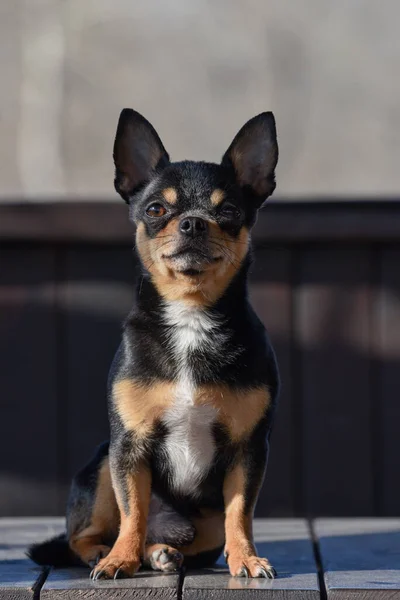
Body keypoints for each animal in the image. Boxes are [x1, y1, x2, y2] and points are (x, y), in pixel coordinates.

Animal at [28, 109, 280, 580]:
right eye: (156, 209)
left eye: (229, 210)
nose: (193, 221)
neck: (191, 316)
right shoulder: (129, 446)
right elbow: (133, 510)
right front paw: (119, 560)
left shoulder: (248, 450)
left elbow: (240, 512)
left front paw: (246, 558)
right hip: (103, 464)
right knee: (89, 535)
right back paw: (106, 552)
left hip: (201, 525)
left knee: (173, 535)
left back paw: (162, 553)